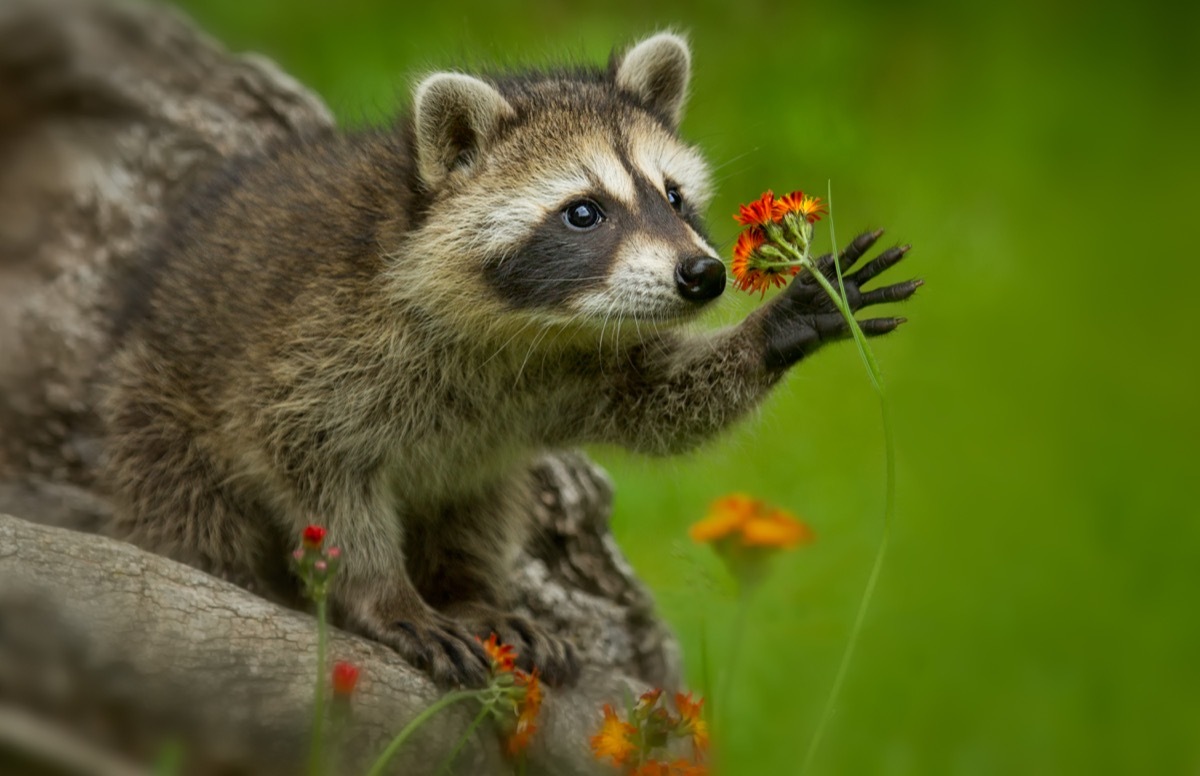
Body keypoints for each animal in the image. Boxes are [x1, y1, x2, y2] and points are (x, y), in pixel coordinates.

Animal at [102, 32, 919, 687]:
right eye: (584, 212)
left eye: (673, 197)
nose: (704, 276)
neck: (525, 326)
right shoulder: (316, 347)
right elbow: (318, 472)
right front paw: (381, 593)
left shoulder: (577, 364)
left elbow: (659, 401)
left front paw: (778, 326)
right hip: (157, 421)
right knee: (197, 522)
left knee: (480, 502)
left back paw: (470, 590)